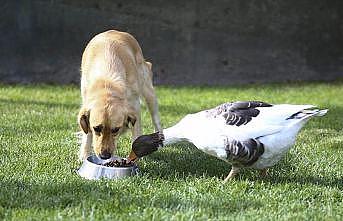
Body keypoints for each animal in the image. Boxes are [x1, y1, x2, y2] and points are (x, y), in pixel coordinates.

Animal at [78, 29, 163, 161]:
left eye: (115, 130)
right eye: (96, 128)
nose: (104, 156)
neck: (107, 83)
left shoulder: (134, 105)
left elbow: (136, 130)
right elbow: (87, 134)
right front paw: (85, 155)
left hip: (148, 90)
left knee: (155, 117)